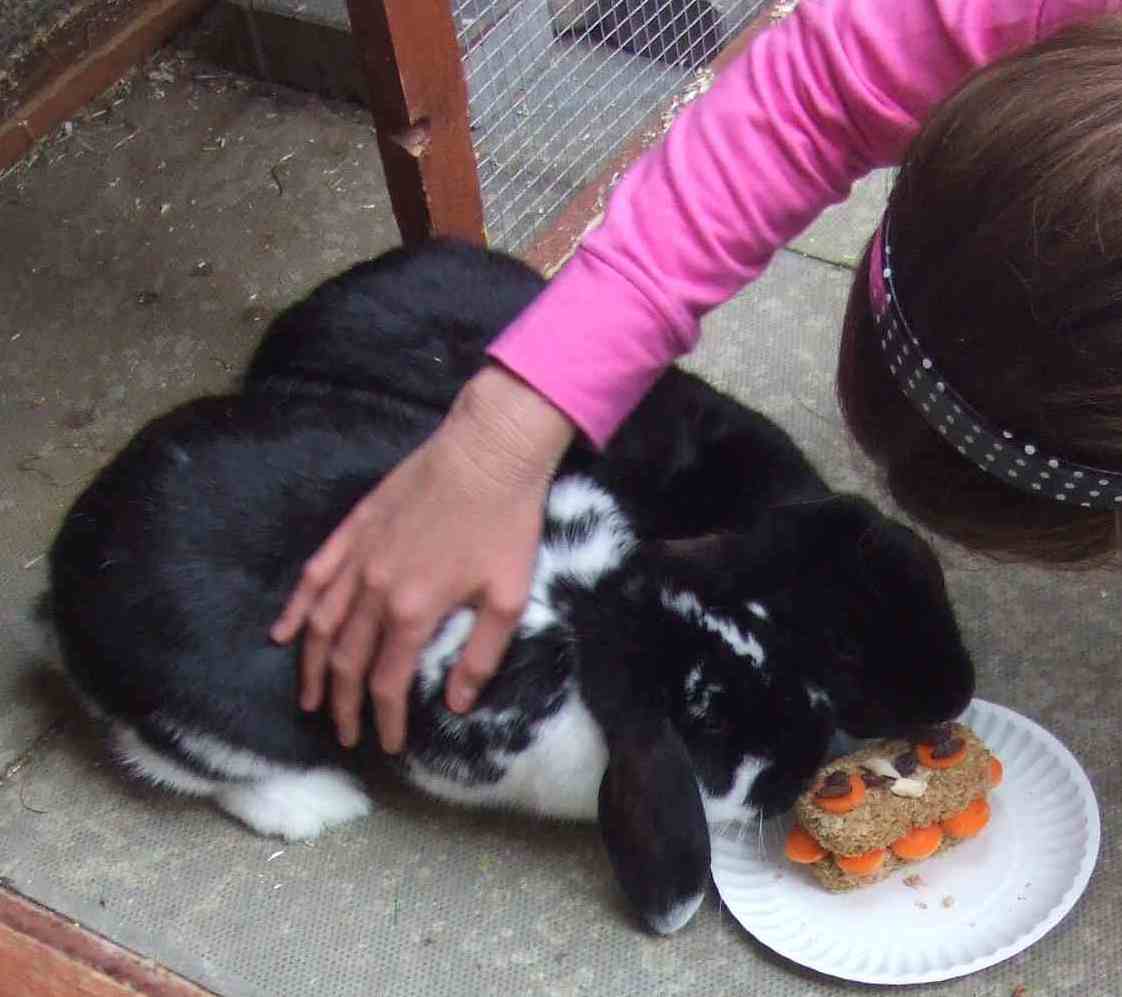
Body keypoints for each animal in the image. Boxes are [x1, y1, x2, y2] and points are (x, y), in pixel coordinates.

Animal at [45, 240, 975, 935]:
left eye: (925, 569)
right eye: (708, 719)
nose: (811, 748)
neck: (596, 616)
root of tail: (68, 566)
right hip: (222, 719)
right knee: (178, 762)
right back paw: (318, 803)